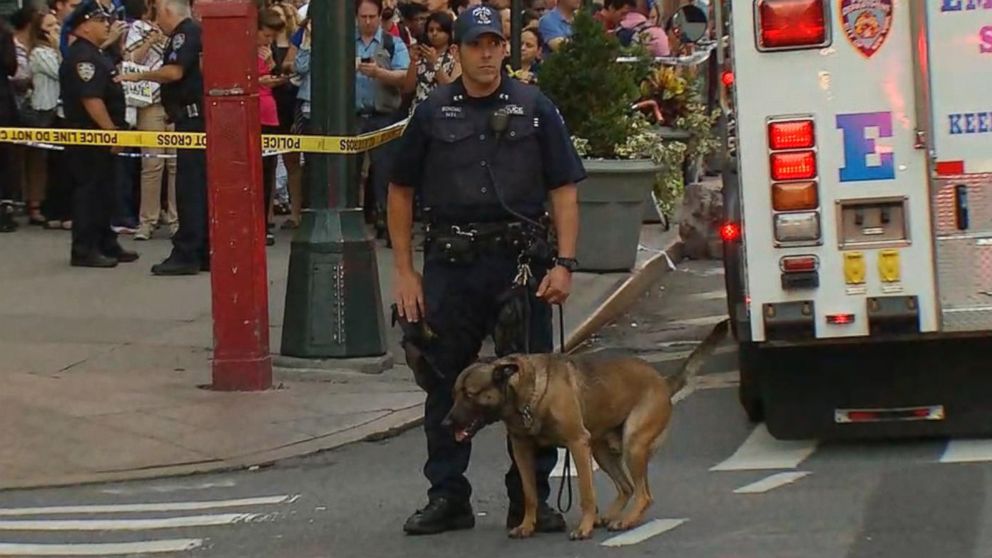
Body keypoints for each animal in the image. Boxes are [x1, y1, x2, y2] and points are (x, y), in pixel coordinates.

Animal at [444, 354, 680, 544]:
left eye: (470, 394)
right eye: (454, 395)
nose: (445, 423)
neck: (527, 392)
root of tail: (663, 380)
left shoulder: (578, 443)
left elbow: (586, 493)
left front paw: (584, 528)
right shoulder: (521, 451)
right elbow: (530, 494)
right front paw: (526, 526)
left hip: (633, 444)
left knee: (644, 494)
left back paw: (625, 521)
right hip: (600, 452)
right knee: (627, 487)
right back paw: (608, 517)